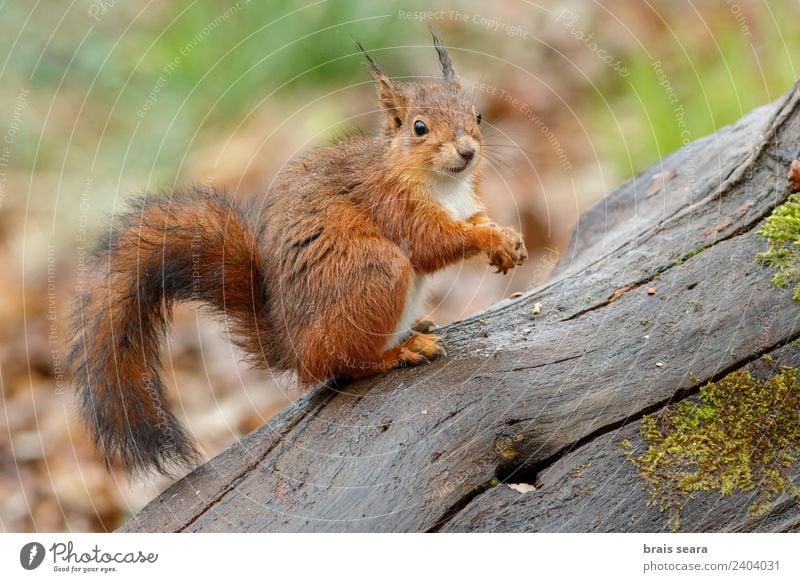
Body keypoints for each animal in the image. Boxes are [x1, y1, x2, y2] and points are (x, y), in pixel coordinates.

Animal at [70, 33, 524, 480]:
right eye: (419, 127)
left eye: (478, 115)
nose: (467, 152)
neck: (444, 184)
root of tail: (293, 348)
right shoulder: (391, 203)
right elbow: (431, 243)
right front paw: (489, 238)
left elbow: (472, 219)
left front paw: (507, 237)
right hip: (375, 272)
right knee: (349, 364)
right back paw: (401, 351)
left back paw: (415, 326)